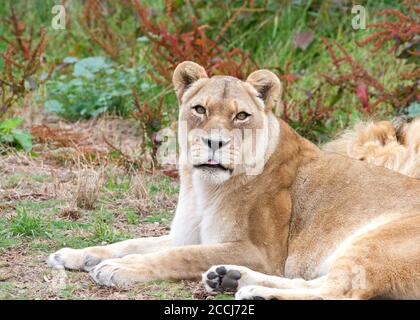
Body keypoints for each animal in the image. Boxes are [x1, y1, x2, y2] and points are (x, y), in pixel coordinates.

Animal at [48, 61, 420, 298]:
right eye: (200, 109)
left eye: (241, 115)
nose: (215, 142)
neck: (203, 189)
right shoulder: (187, 235)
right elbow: (130, 242)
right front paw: (75, 255)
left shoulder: (262, 252)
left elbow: (176, 256)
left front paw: (118, 268)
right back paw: (231, 279)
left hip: (374, 242)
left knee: (342, 290)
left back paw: (255, 292)